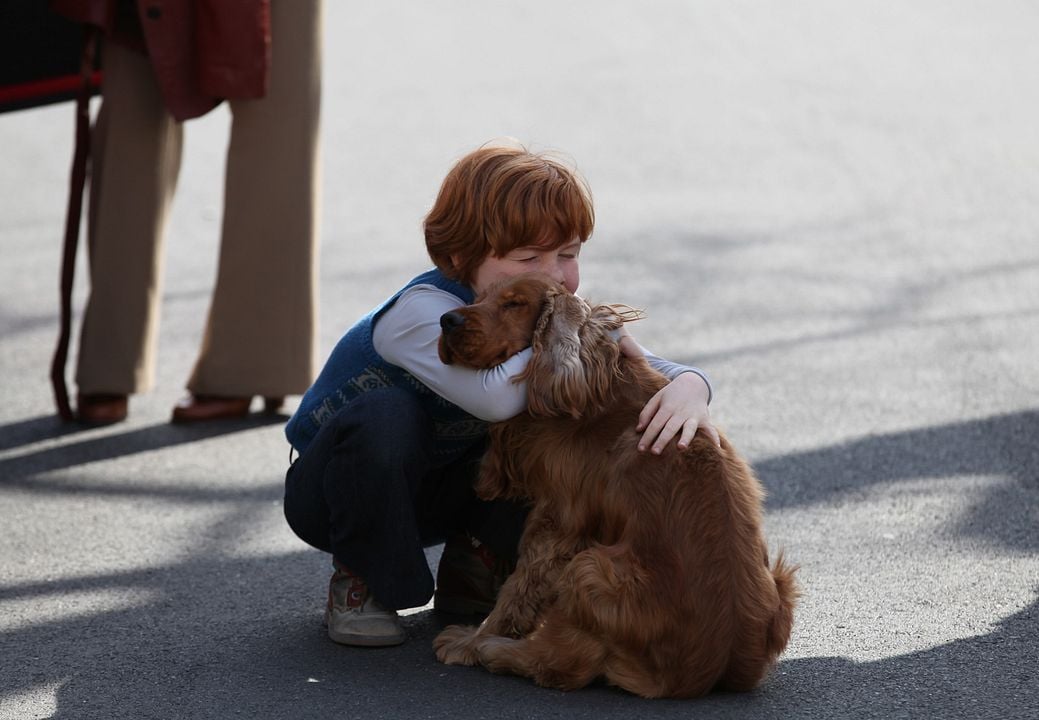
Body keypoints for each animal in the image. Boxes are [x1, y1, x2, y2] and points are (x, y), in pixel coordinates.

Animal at [430, 270, 793, 698]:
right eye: (478, 297)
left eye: (514, 303)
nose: (446, 320)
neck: (590, 385)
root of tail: (700, 678)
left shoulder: (557, 526)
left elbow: (516, 591)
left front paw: (471, 641)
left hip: (588, 568)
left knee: (562, 665)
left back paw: (496, 650)